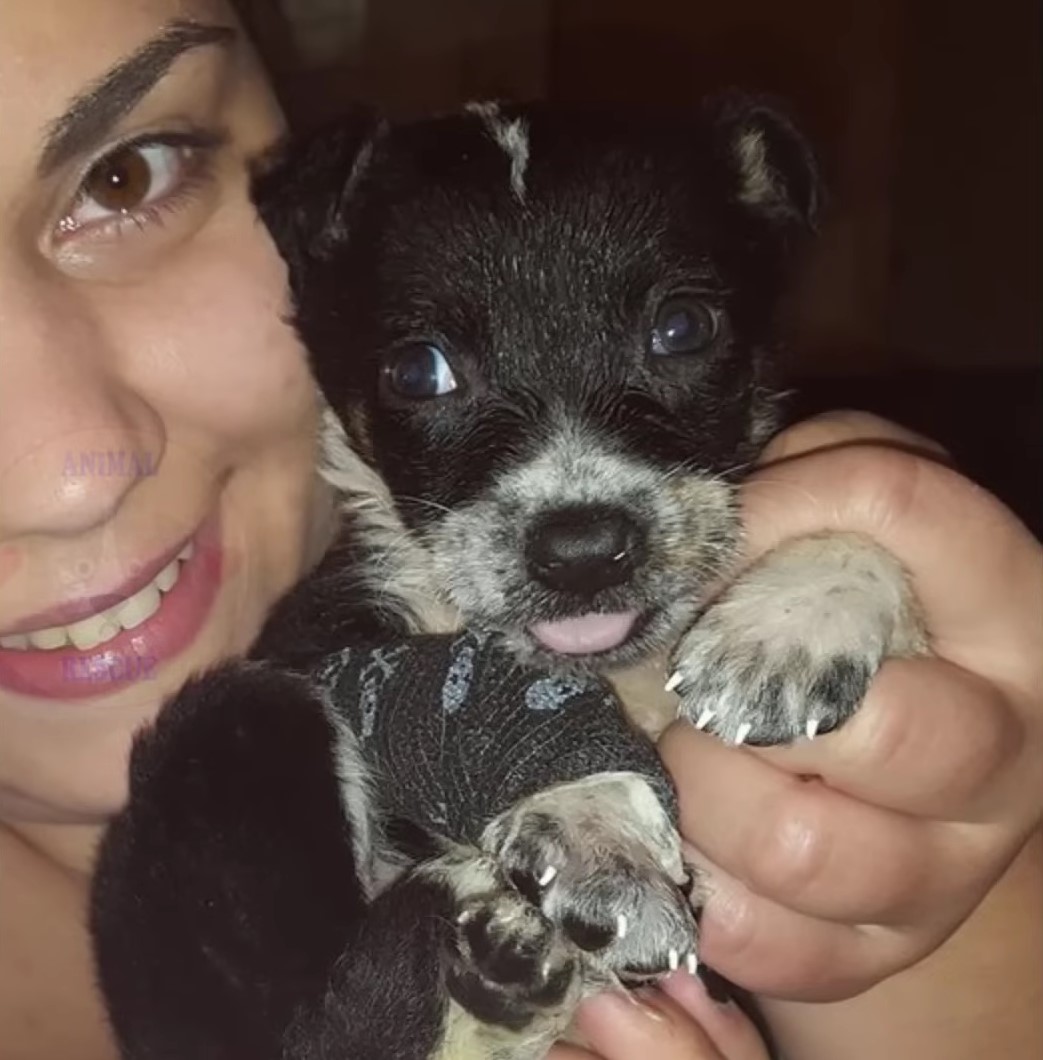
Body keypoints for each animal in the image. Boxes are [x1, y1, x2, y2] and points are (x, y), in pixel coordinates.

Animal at [89, 97, 920, 1060]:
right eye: (418, 369)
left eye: (682, 329)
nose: (582, 551)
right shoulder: (335, 640)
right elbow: (503, 687)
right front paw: (596, 828)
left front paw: (789, 625)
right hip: (233, 724)